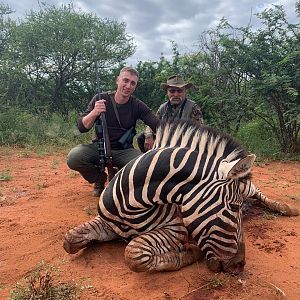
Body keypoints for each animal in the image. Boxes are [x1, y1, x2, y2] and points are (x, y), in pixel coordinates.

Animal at [63, 119, 298, 274]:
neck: (131, 203)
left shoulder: (175, 229)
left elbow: (134, 253)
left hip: (248, 188)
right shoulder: (108, 223)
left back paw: (288, 208)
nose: (239, 266)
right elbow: (70, 240)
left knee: (257, 192)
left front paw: (190, 252)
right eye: (233, 207)